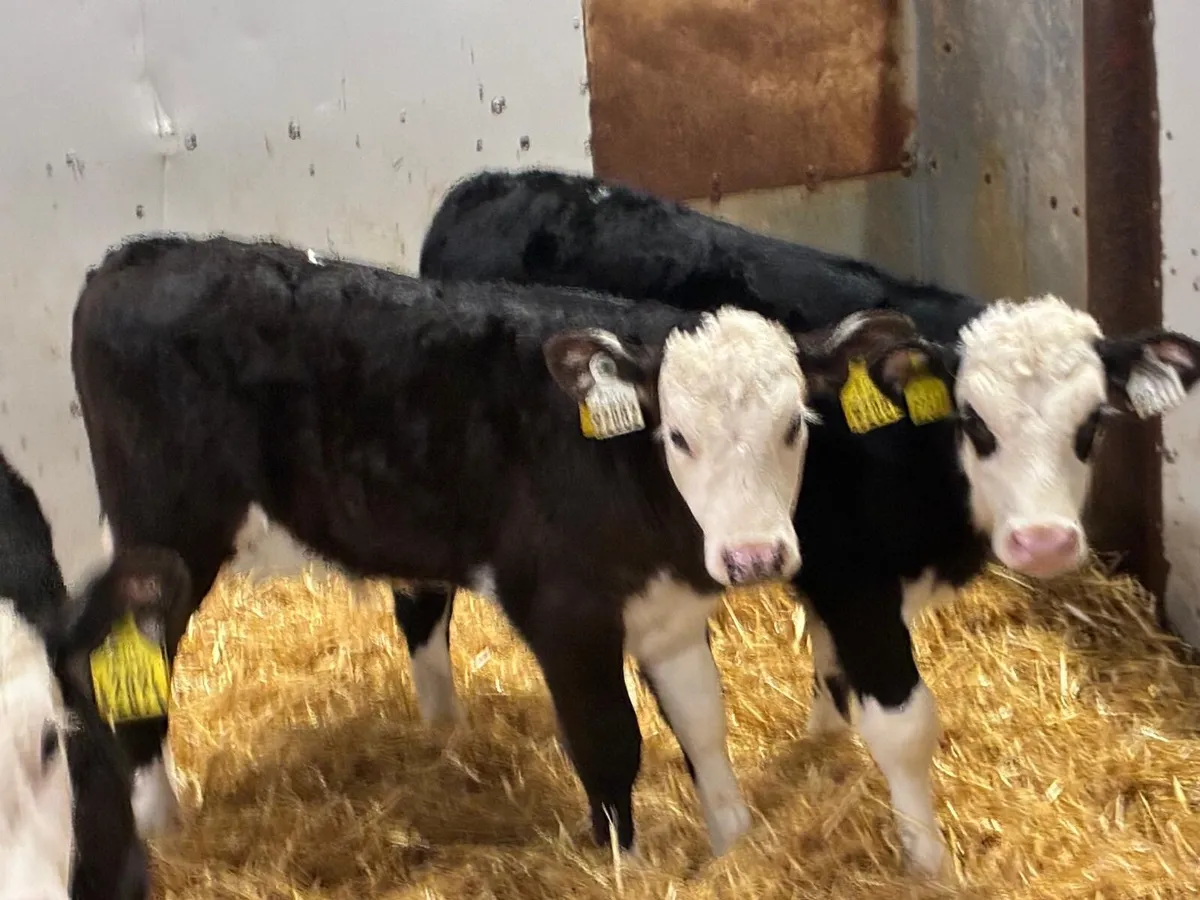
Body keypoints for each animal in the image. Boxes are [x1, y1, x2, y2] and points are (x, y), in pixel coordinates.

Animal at [70, 233, 916, 860]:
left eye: (795, 425)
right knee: (133, 666)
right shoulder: (563, 611)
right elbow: (609, 742)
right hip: (166, 531)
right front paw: (626, 867)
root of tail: (137, 255)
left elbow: (705, 727)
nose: (753, 557)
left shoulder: (670, 608)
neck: (622, 469)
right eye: (678, 435)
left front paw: (733, 847)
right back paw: (161, 828)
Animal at [386, 167, 1200, 876]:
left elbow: (833, 679)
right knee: (420, 599)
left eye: (1093, 423)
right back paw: (442, 731)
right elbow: (904, 725)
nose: (1046, 540)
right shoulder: (854, 580)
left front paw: (821, 751)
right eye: (975, 420)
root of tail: (489, 185)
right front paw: (929, 864)